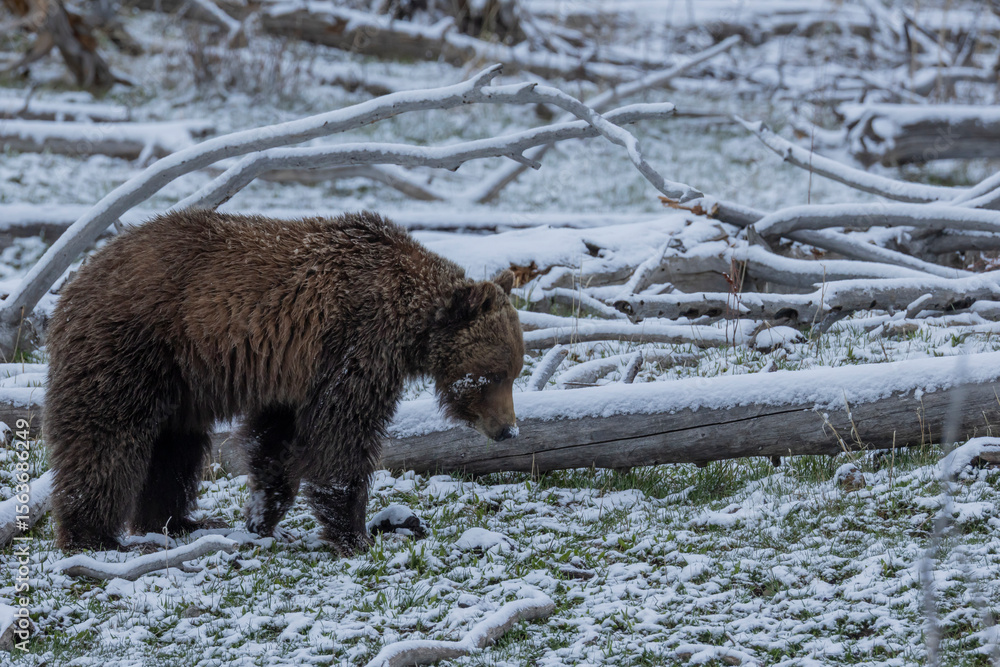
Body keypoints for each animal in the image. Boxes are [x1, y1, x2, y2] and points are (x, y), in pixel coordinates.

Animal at [45, 210, 524, 554]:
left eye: (515, 372)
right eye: (494, 375)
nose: (508, 430)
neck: (409, 324)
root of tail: (79, 276)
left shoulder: (292, 370)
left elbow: (274, 441)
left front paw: (263, 517)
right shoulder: (354, 344)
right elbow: (341, 435)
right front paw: (353, 533)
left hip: (179, 381)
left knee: (174, 447)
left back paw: (177, 521)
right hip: (133, 347)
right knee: (107, 436)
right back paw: (93, 534)